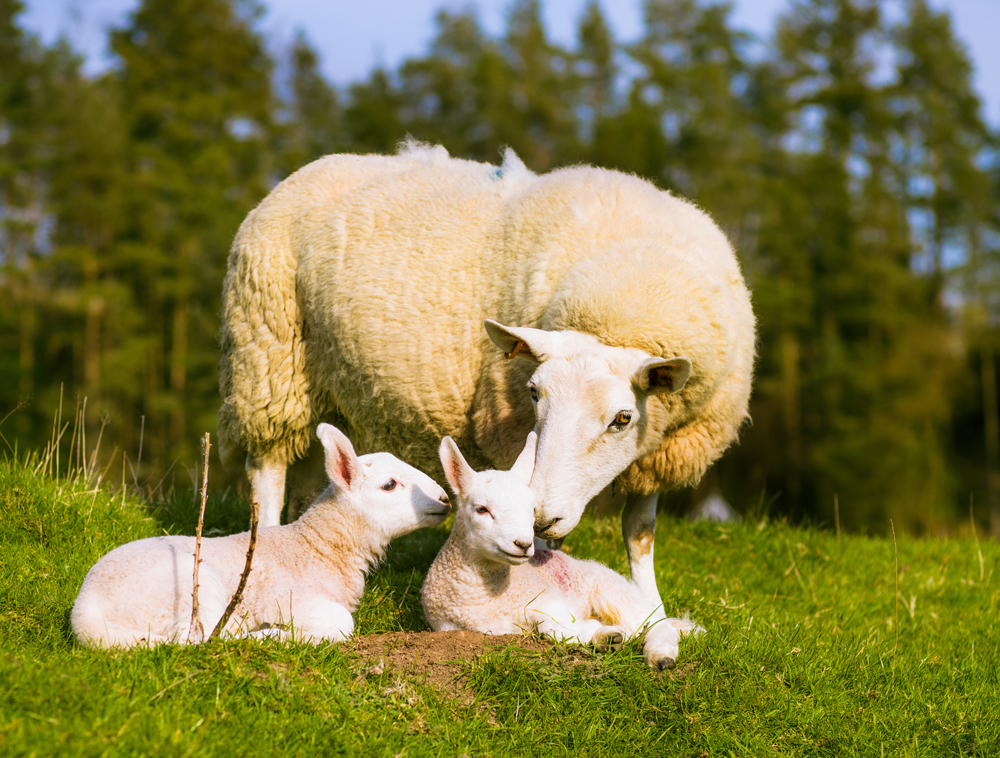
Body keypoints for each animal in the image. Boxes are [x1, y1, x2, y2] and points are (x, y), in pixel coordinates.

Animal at [71, 424, 451, 648]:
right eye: (389, 485)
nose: (445, 499)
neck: (315, 545)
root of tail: (84, 612)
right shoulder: (288, 598)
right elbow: (343, 623)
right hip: (186, 590)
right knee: (200, 638)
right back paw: (268, 634)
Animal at [217, 141, 755, 630]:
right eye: (534, 393)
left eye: (623, 419)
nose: (543, 516)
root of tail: (314, 167)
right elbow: (545, 540)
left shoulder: (660, 450)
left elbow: (640, 532)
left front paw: (653, 608)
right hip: (268, 358)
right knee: (267, 470)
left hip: (327, 388)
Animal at [422, 432, 702, 670]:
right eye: (482, 509)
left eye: (531, 509)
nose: (523, 544)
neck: (485, 599)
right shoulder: (447, 626)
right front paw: (605, 636)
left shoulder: (547, 600)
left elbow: (559, 628)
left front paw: (604, 634)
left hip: (615, 592)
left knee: (656, 625)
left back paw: (661, 656)